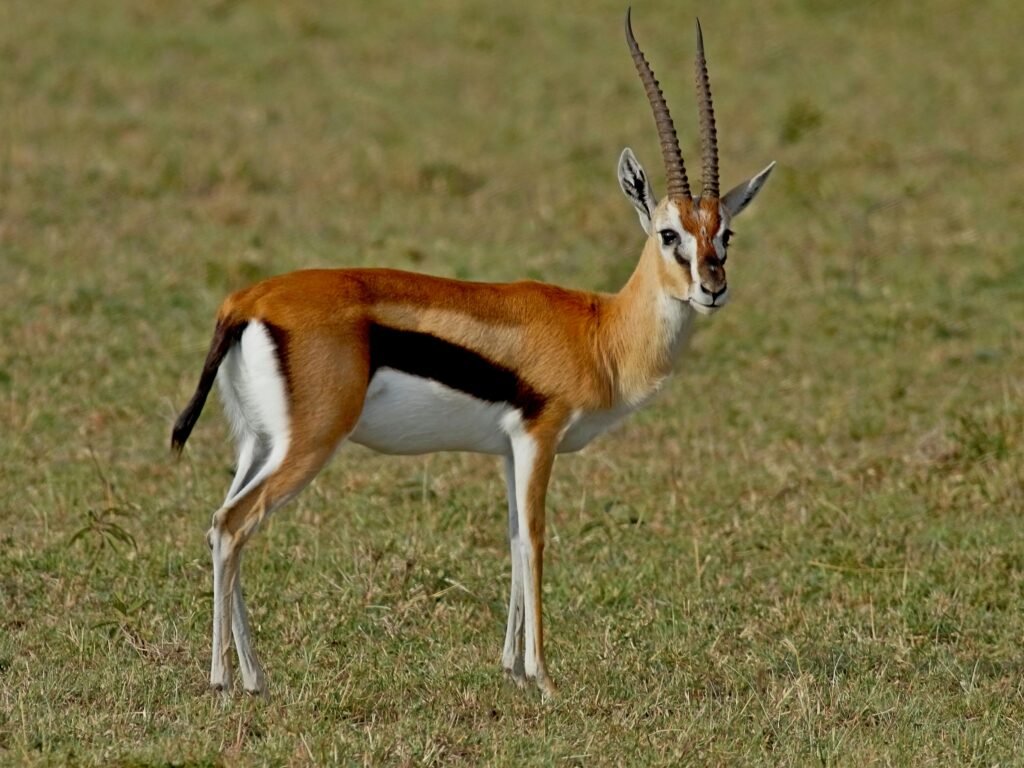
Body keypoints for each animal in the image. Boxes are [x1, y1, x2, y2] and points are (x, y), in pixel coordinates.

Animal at [172, 11, 774, 699]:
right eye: (670, 233)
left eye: (725, 233)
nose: (712, 287)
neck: (600, 330)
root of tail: (248, 298)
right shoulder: (539, 438)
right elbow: (536, 539)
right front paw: (544, 677)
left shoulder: (508, 450)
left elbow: (511, 539)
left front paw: (511, 669)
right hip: (310, 442)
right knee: (235, 524)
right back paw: (226, 679)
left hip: (260, 442)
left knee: (221, 522)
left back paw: (253, 676)